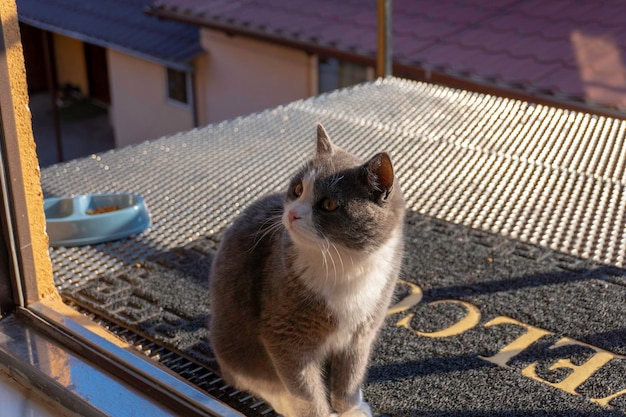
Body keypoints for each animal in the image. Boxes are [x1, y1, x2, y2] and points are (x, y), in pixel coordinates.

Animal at [210, 123, 404, 416]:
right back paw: (283, 401)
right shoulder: (285, 334)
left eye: (329, 204)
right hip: (232, 339)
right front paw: (320, 411)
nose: (292, 214)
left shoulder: (363, 329)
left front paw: (351, 408)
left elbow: (350, 375)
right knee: (253, 377)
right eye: (298, 189)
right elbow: (305, 389)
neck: (344, 263)